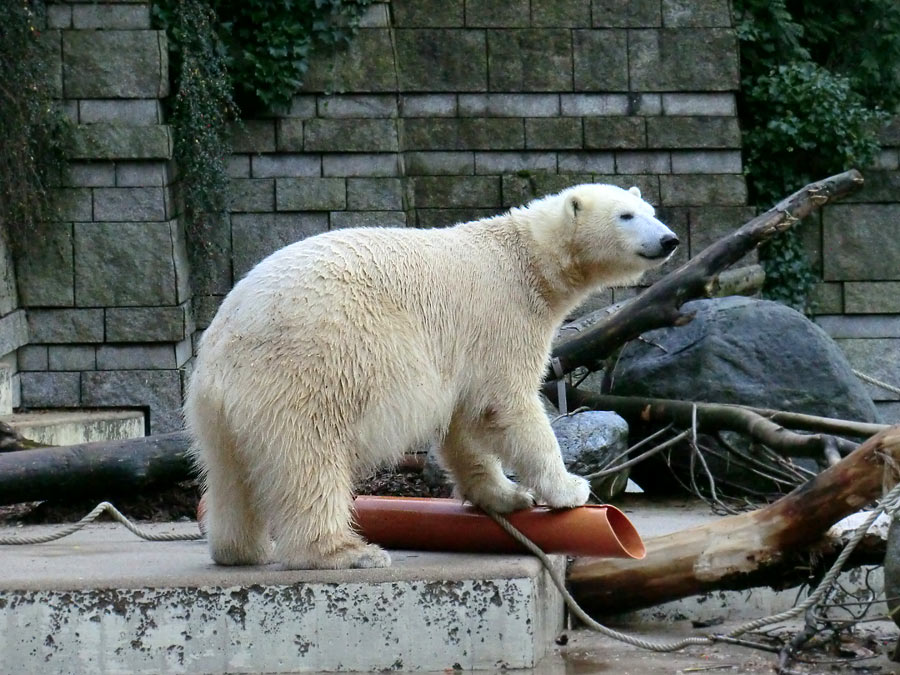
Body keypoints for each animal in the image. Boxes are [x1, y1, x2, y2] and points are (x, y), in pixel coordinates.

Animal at [185, 185, 676, 572]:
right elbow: (506, 404)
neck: (526, 258)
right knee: (309, 459)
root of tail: (221, 346)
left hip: (221, 407)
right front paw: (569, 488)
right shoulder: (502, 316)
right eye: (626, 215)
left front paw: (506, 495)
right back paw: (347, 552)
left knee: (229, 472)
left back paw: (240, 549)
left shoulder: (461, 353)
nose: (669, 239)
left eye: (650, 209)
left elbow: (464, 422)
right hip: (308, 369)